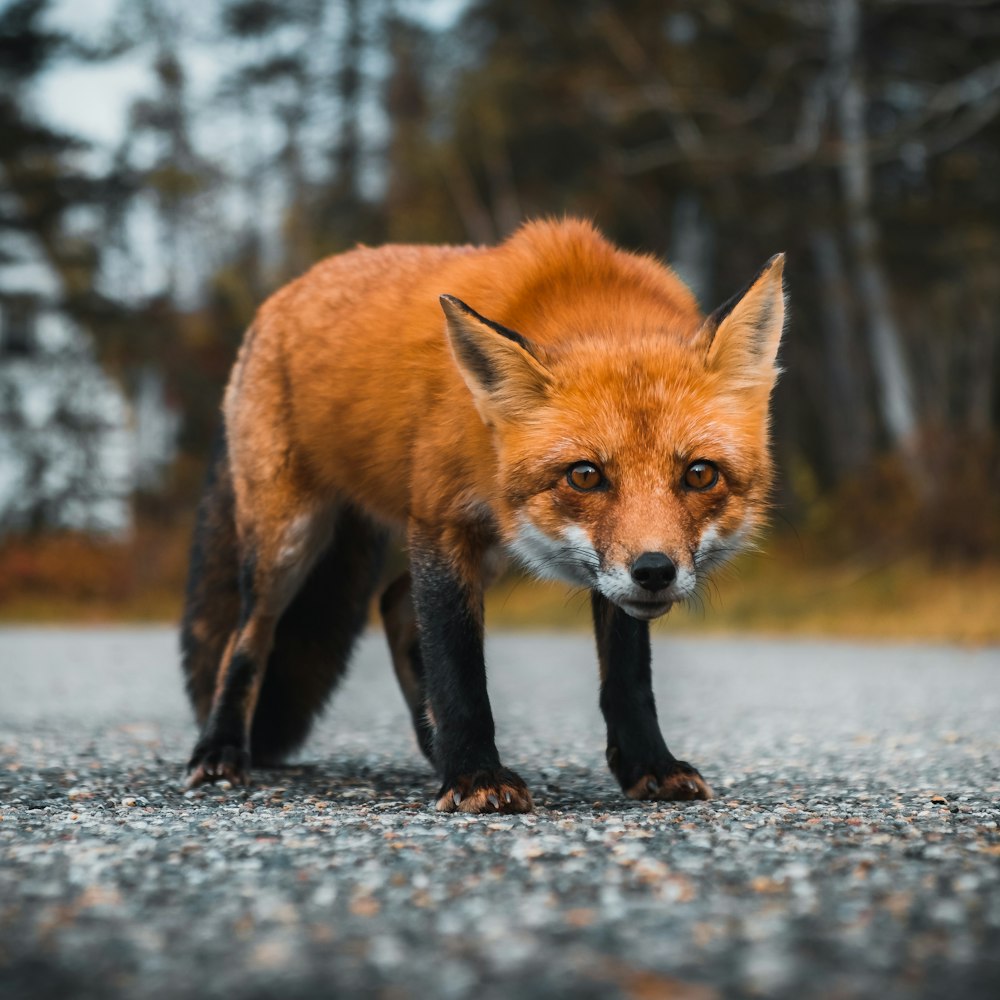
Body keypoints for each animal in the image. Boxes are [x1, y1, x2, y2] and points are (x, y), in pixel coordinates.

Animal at [181, 218, 786, 813]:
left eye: (700, 474)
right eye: (585, 475)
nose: (656, 571)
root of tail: (281, 296)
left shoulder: (596, 575)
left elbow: (628, 675)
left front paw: (648, 766)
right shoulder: (440, 522)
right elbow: (458, 666)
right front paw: (475, 775)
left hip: (498, 547)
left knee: (394, 604)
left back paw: (432, 746)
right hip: (288, 542)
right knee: (248, 638)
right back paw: (220, 751)